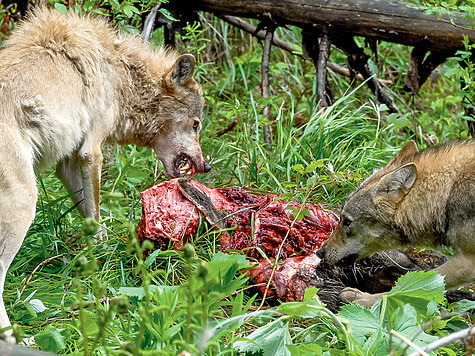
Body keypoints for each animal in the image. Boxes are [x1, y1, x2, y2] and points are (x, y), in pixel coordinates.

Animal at [0, 7, 210, 340]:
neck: (121, 74)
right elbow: (97, 218)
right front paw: (103, 252)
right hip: (24, 204)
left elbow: (88, 213)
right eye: (196, 124)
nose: (208, 166)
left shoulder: (68, 163)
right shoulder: (91, 152)